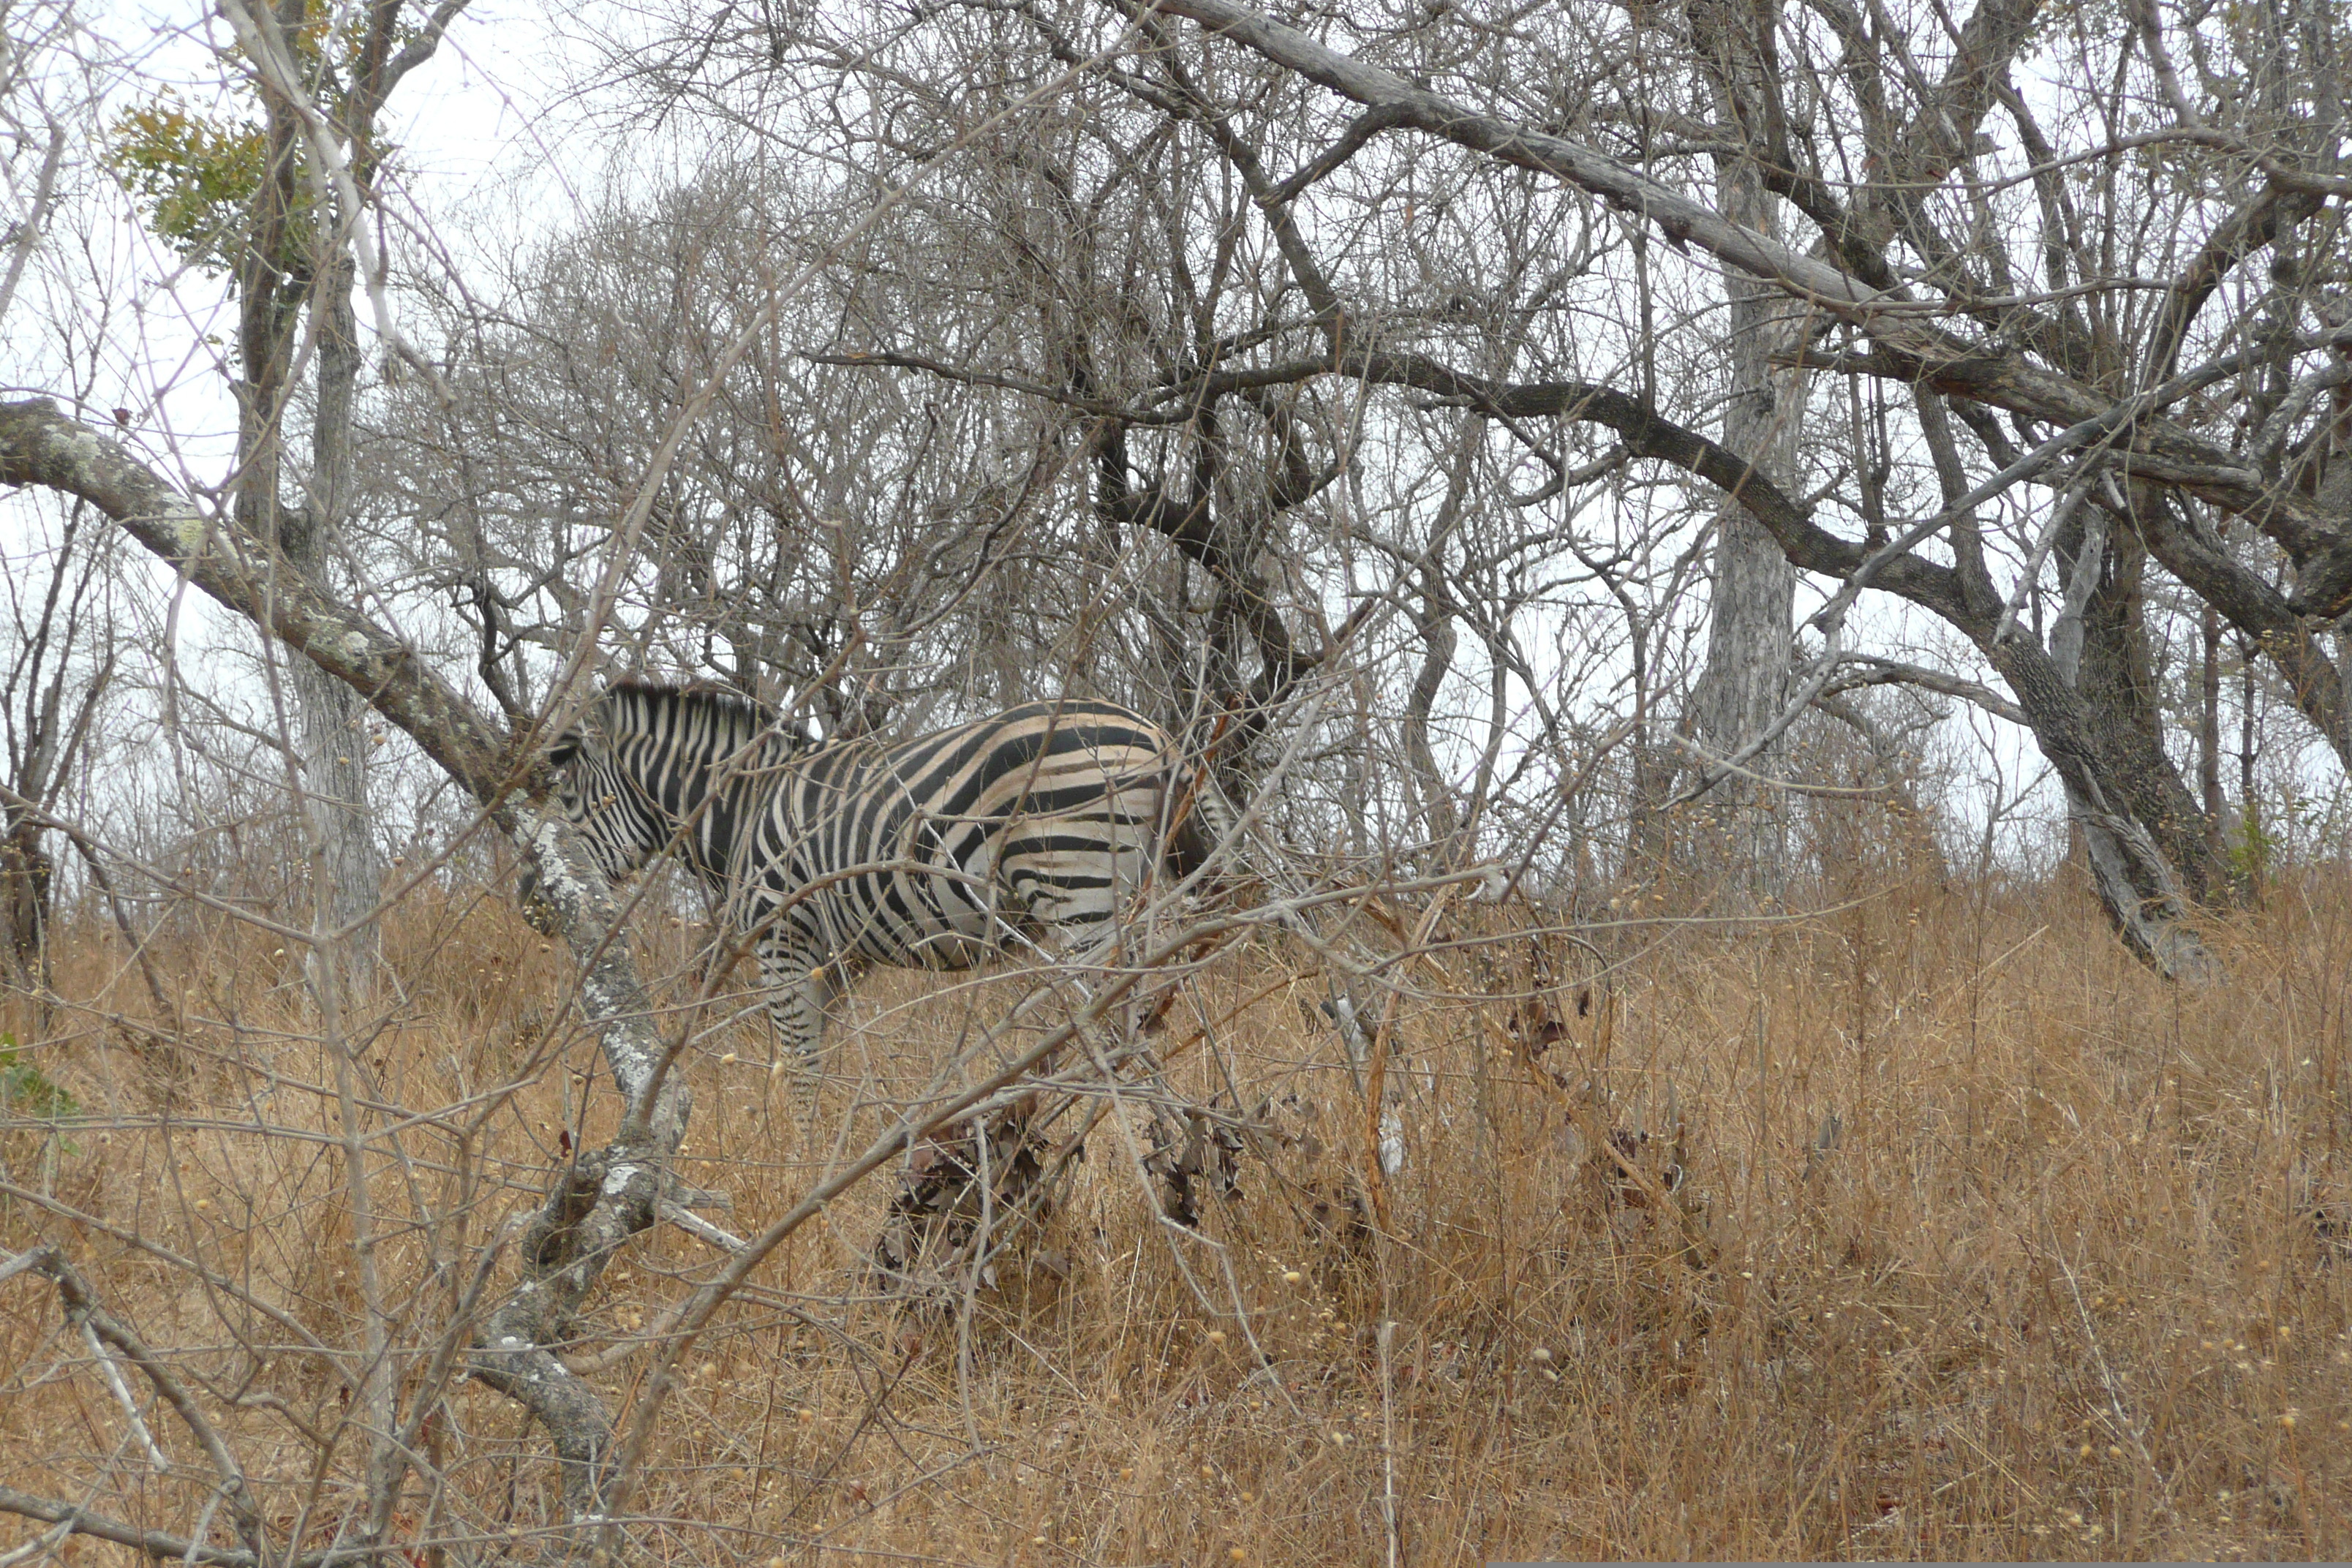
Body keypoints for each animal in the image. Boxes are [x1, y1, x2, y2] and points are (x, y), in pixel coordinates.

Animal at [517, 686, 1213, 1081]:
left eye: (567, 801)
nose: (529, 900)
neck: (744, 810)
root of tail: (1159, 735)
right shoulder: (839, 959)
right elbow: (820, 1058)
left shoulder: (782, 937)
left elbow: (800, 1065)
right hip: (1138, 892)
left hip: (1075, 886)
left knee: (1119, 1029)